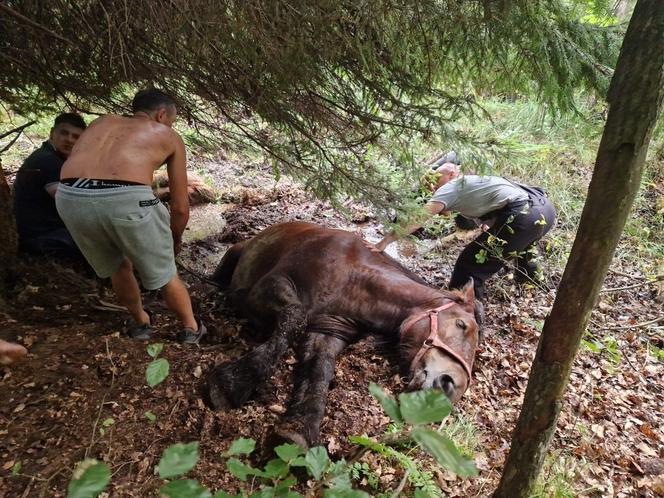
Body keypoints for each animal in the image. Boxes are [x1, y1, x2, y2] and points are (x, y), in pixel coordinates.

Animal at [205, 222, 480, 448]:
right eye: (461, 324)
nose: (449, 386)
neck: (353, 279)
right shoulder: (268, 287)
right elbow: (295, 317)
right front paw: (234, 382)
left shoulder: (326, 333)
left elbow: (319, 370)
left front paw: (298, 430)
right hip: (233, 257)